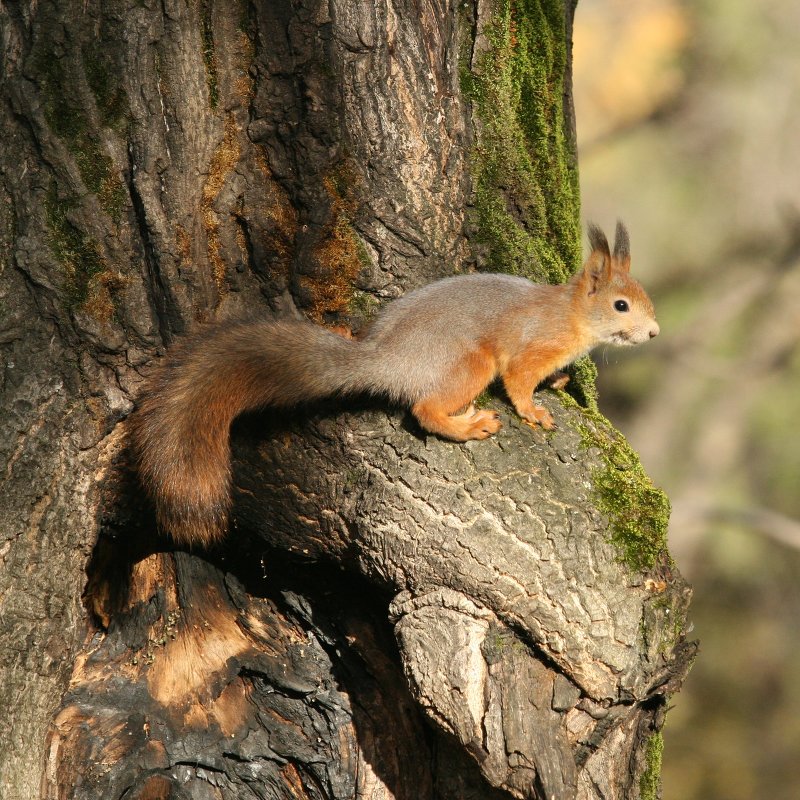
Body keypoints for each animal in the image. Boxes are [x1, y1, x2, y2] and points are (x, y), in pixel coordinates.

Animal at [130, 223, 656, 552]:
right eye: (621, 305)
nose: (653, 334)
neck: (571, 316)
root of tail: (389, 361)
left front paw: (562, 379)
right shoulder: (528, 349)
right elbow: (520, 382)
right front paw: (534, 410)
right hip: (470, 362)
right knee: (424, 409)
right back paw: (468, 425)